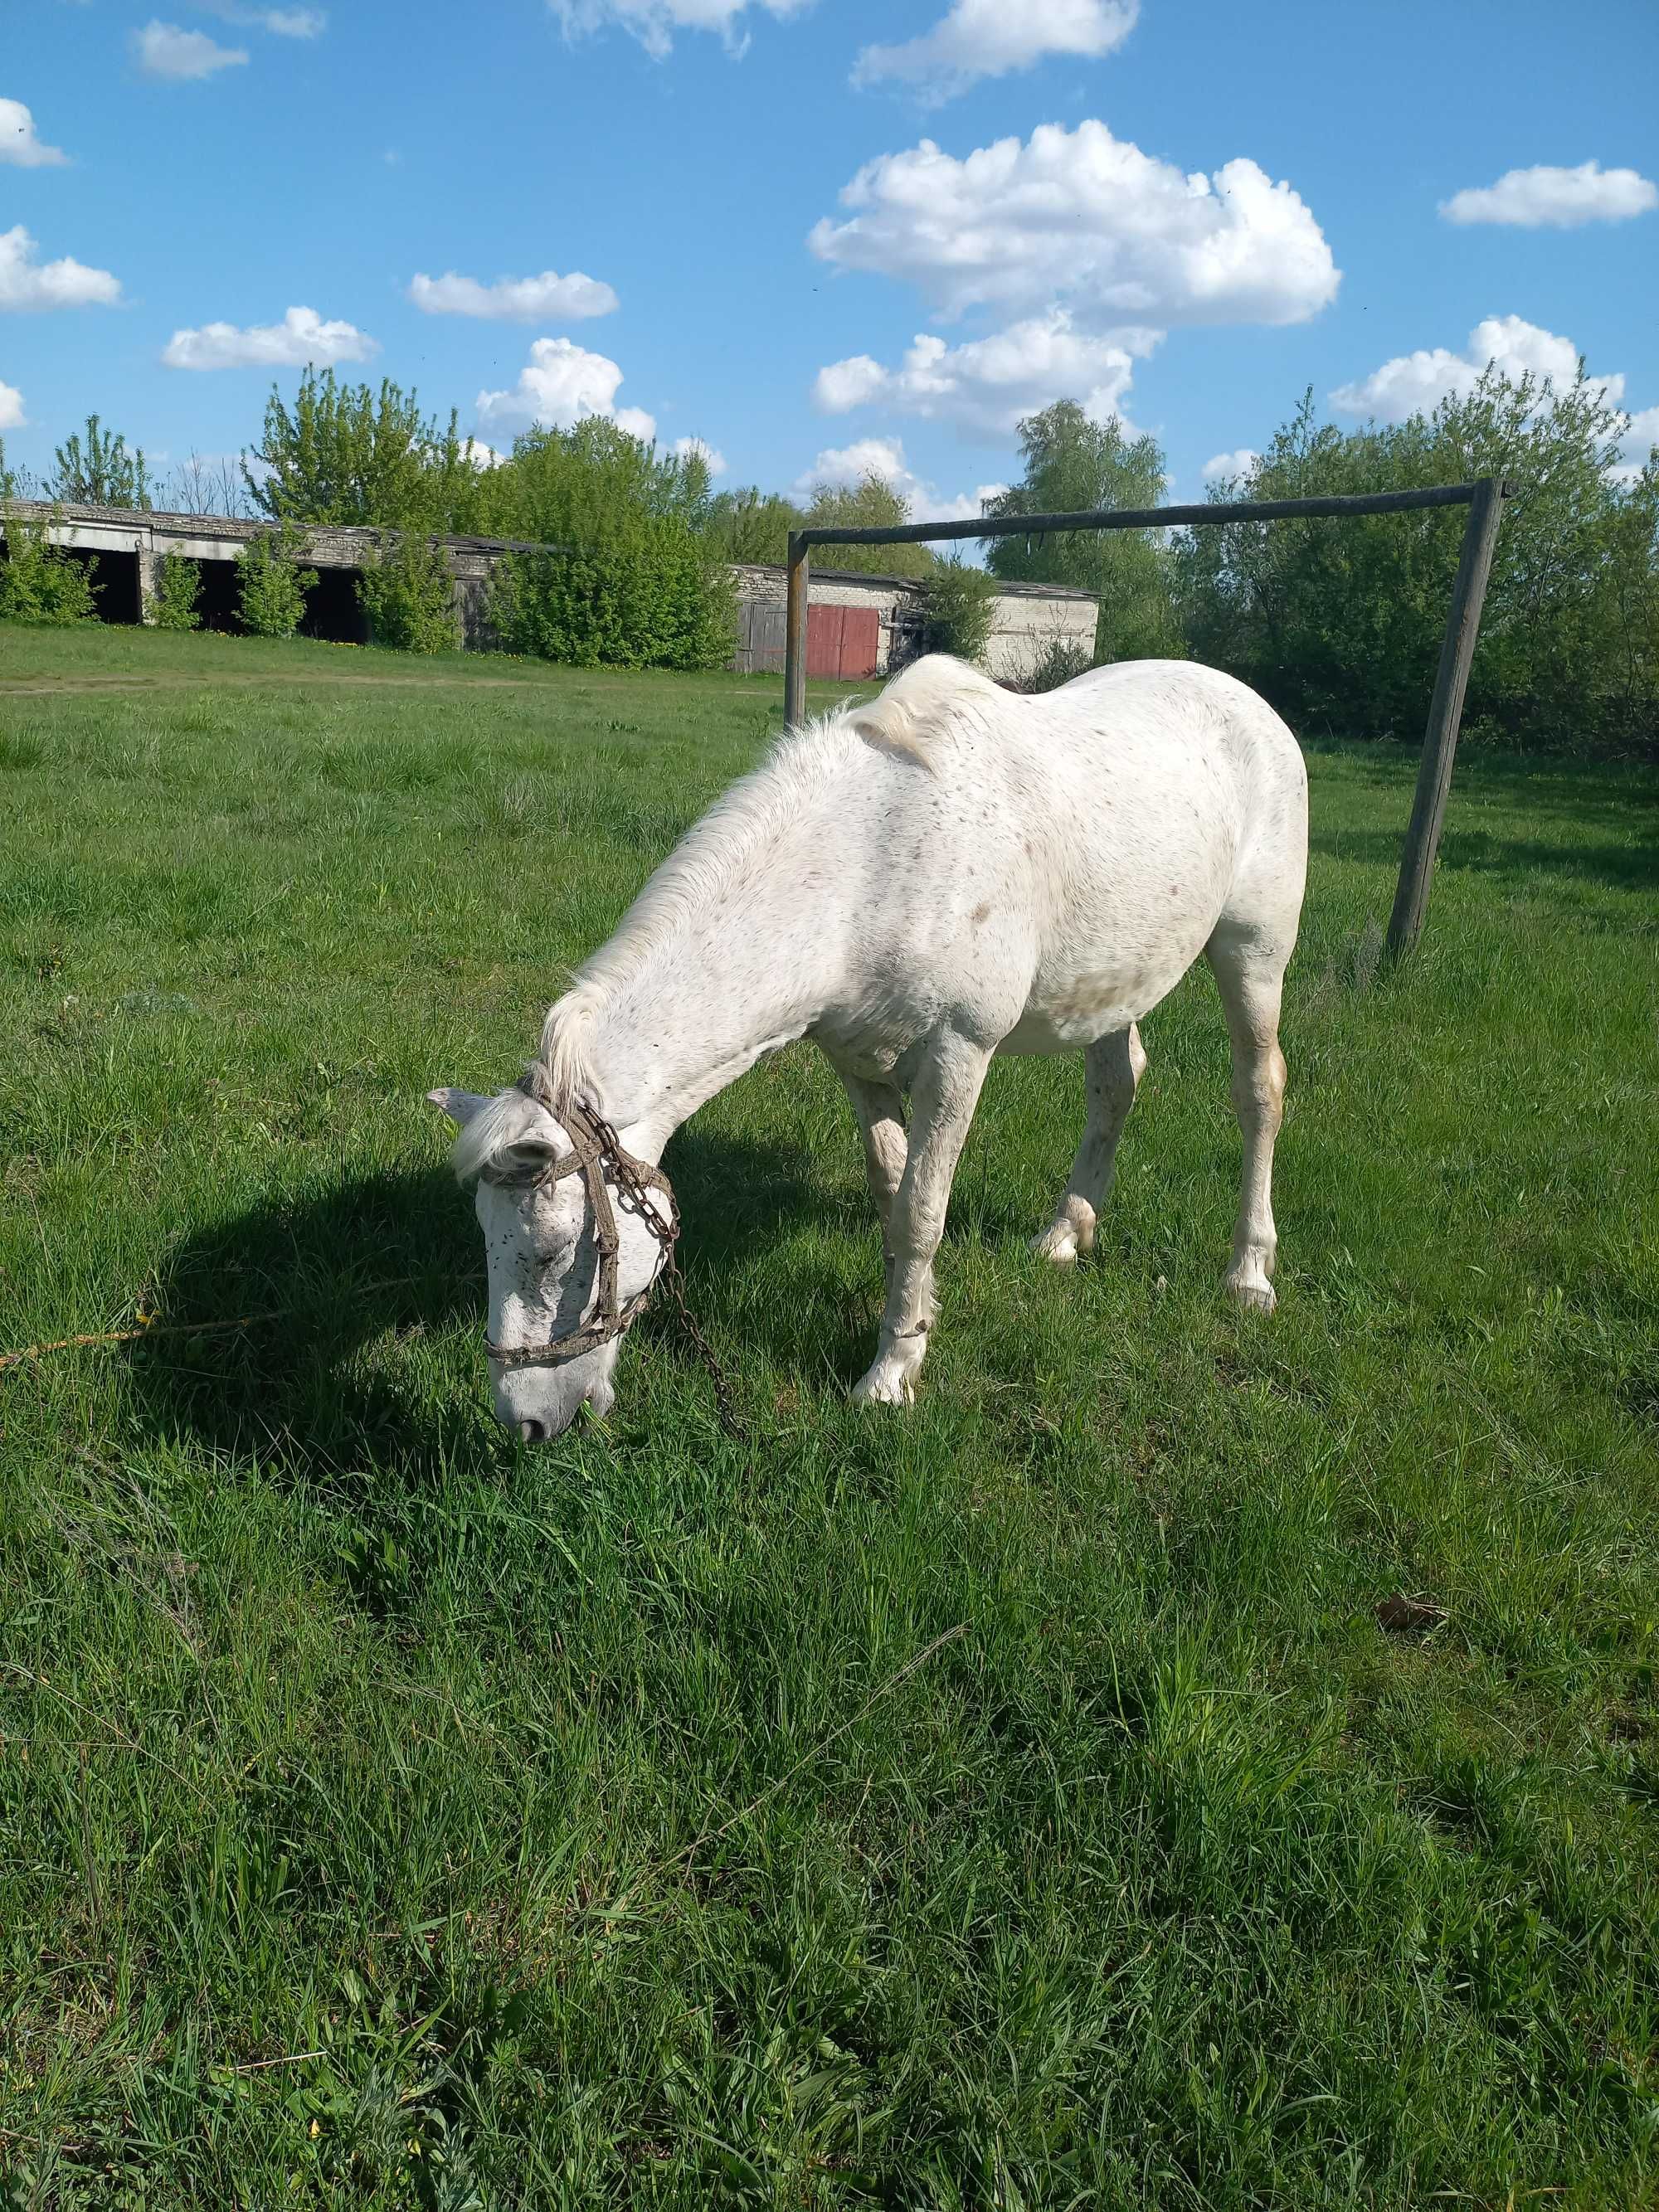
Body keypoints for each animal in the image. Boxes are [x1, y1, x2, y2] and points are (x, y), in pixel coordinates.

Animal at [431, 645, 1309, 1441]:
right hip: (1112, 981)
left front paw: (890, 1375)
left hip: (1253, 951)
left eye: (553, 1253)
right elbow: (891, 1194)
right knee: (1115, 1085)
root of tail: (1248, 702)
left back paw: (1249, 1272)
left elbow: (921, 1211)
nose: (524, 1424)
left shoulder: (958, 1056)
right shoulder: (860, 1063)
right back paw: (1067, 1232)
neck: (867, 870)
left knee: (1259, 1091)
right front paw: (909, 1326)